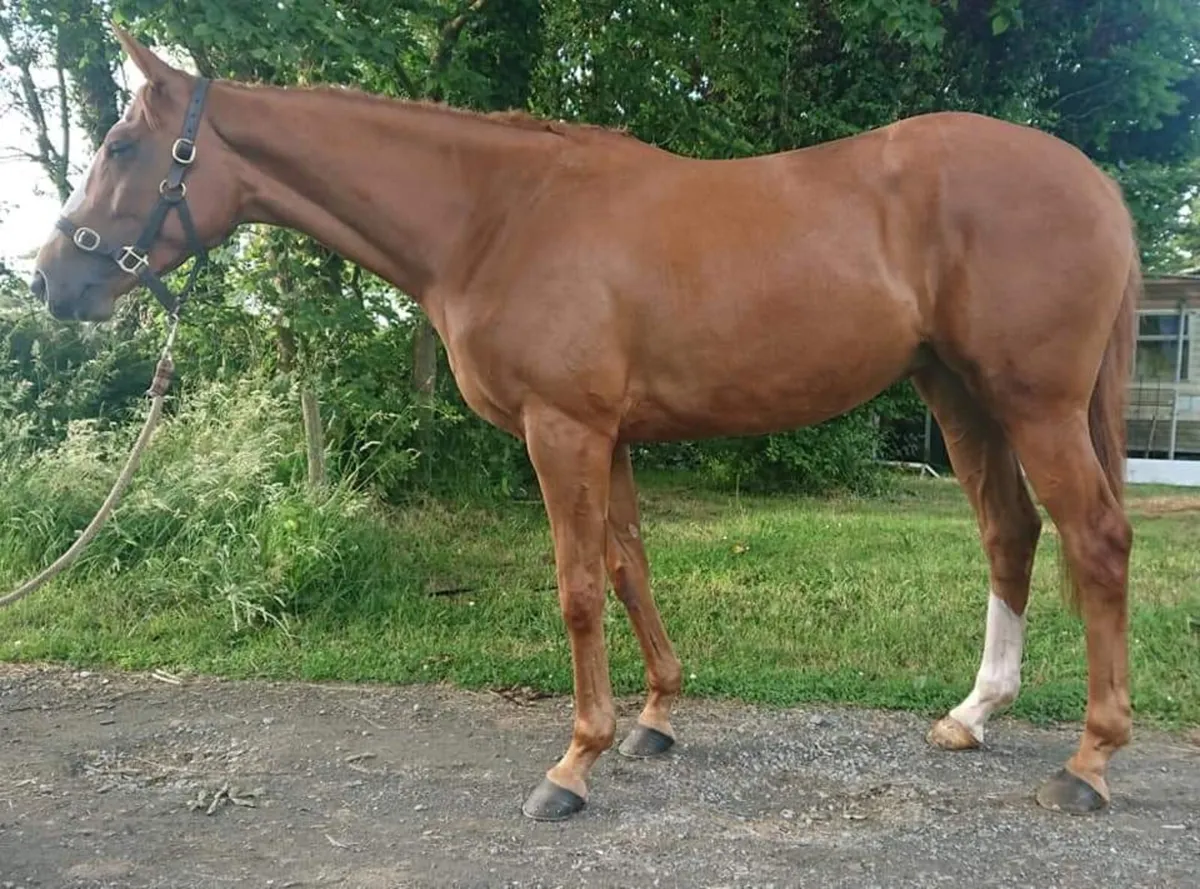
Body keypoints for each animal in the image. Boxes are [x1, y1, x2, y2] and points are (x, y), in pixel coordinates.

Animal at [31, 26, 1140, 822]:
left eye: (122, 146)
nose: (51, 280)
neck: (496, 217)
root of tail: (1094, 182)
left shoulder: (561, 430)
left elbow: (575, 589)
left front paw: (572, 763)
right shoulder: (610, 437)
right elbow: (627, 563)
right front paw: (654, 718)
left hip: (1033, 402)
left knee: (1095, 539)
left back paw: (1089, 761)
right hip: (958, 393)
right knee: (1010, 532)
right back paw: (973, 716)